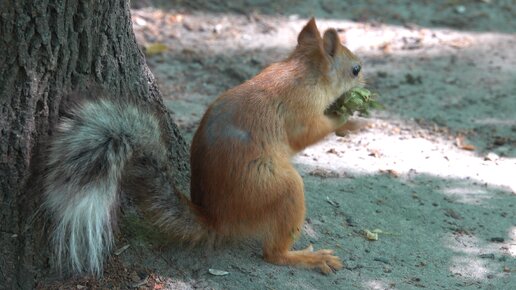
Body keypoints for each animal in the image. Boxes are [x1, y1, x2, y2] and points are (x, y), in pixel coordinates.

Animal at [44, 18, 364, 276]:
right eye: (355, 69)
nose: (365, 79)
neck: (302, 70)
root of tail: (219, 220)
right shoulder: (301, 111)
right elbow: (311, 132)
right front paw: (350, 118)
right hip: (280, 189)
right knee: (273, 254)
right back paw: (308, 258)